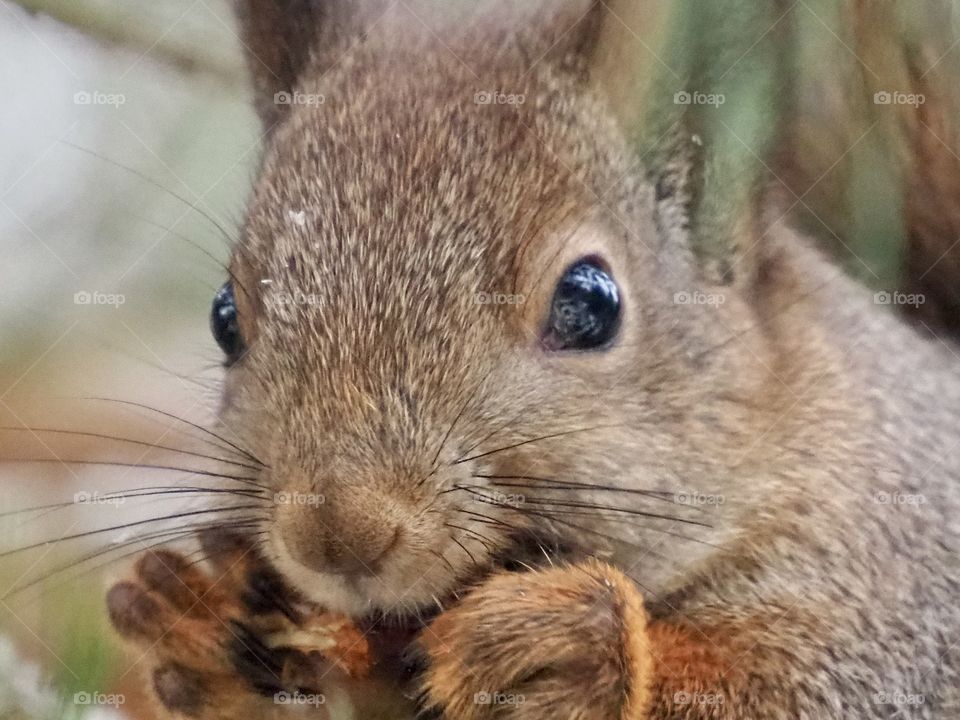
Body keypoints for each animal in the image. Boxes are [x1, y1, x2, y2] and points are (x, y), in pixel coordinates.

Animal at [106, 1, 960, 718]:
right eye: (224, 318)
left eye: (589, 302)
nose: (337, 533)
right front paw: (209, 632)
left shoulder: (895, 594)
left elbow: (796, 690)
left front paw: (578, 649)